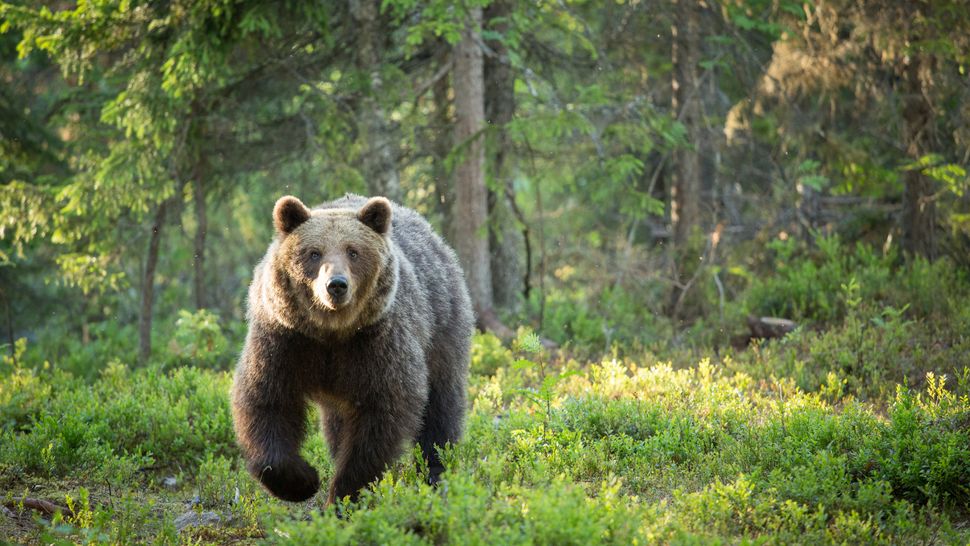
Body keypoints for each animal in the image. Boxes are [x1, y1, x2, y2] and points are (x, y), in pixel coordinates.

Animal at [231, 194, 473, 504]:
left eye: (353, 251)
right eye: (314, 253)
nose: (336, 285)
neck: (331, 332)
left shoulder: (376, 344)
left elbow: (380, 417)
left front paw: (344, 495)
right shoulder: (285, 340)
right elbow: (266, 401)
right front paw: (303, 480)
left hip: (441, 327)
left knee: (441, 405)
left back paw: (437, 471)